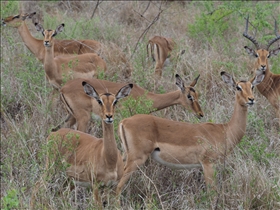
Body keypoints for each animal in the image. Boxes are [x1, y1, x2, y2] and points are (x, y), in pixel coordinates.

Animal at [54, 74, 203, 132]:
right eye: (190, 96)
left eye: (197, 94)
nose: (201, 114)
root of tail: (63, 88)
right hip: (83, 119)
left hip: (71, 117)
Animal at [115, 71, 264, 197]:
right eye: (238, 87)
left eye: (252, 86)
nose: (251, 99)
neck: (224, 130)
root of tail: (124, 121)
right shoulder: (208, 164)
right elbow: (212, 192)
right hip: (137, 159)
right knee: (118, 186)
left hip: (126, 155)